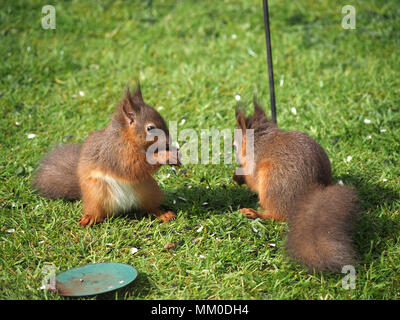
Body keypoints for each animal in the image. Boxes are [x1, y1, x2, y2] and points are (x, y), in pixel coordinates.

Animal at [231, 99, 360, 272]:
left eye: (234, 146)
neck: (260, 139)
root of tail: (309, 192)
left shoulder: (254, 164)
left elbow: (251, 180)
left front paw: (238, 176)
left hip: (272, 185)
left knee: (279, 215)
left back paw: (254, 213)